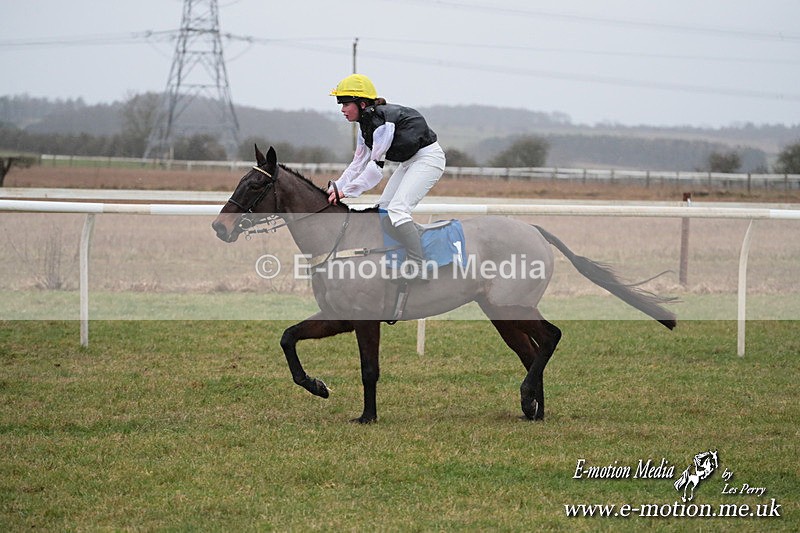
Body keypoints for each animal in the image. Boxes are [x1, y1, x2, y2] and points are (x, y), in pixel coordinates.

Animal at [212, 145, 676, 423]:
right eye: (239, 181)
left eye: (255, 184)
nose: (219, 227)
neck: (338, 239)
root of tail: (534, 229)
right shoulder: (338, 315)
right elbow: (288, 337)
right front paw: (318, 386)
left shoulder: (364, 319)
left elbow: (368, 369)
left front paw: (367, 416)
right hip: (501, 315)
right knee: (532, 351)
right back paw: (533, 409)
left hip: (512, 306)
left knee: (551, 338)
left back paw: (529, 399)